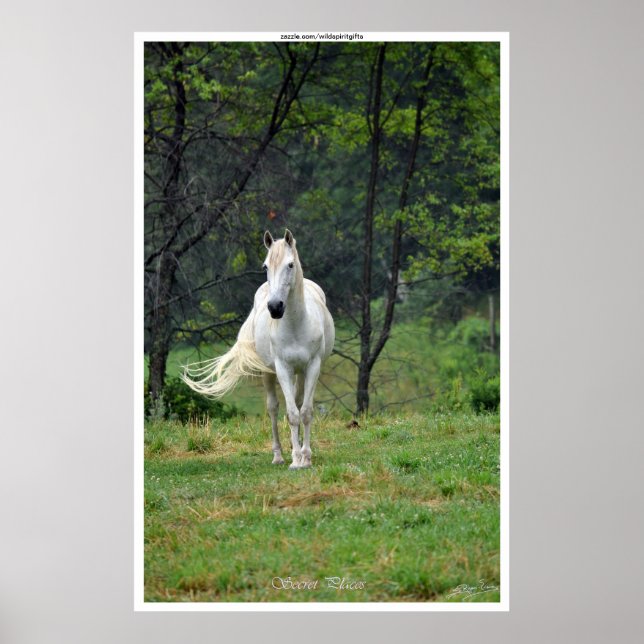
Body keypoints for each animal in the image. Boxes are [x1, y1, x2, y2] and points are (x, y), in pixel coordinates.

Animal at [183, 229, 335, 469]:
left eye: (290, 264)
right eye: (265, 267)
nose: (275, 307)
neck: (296, 324)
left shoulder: (313, 366)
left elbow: (305, 412)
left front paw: (306, 458)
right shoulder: (282, 368)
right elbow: (291, 414)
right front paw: (295, 460)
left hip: (300, 372)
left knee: (298, 402)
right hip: (268, 371)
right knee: (273, 408)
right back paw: (279, 455)